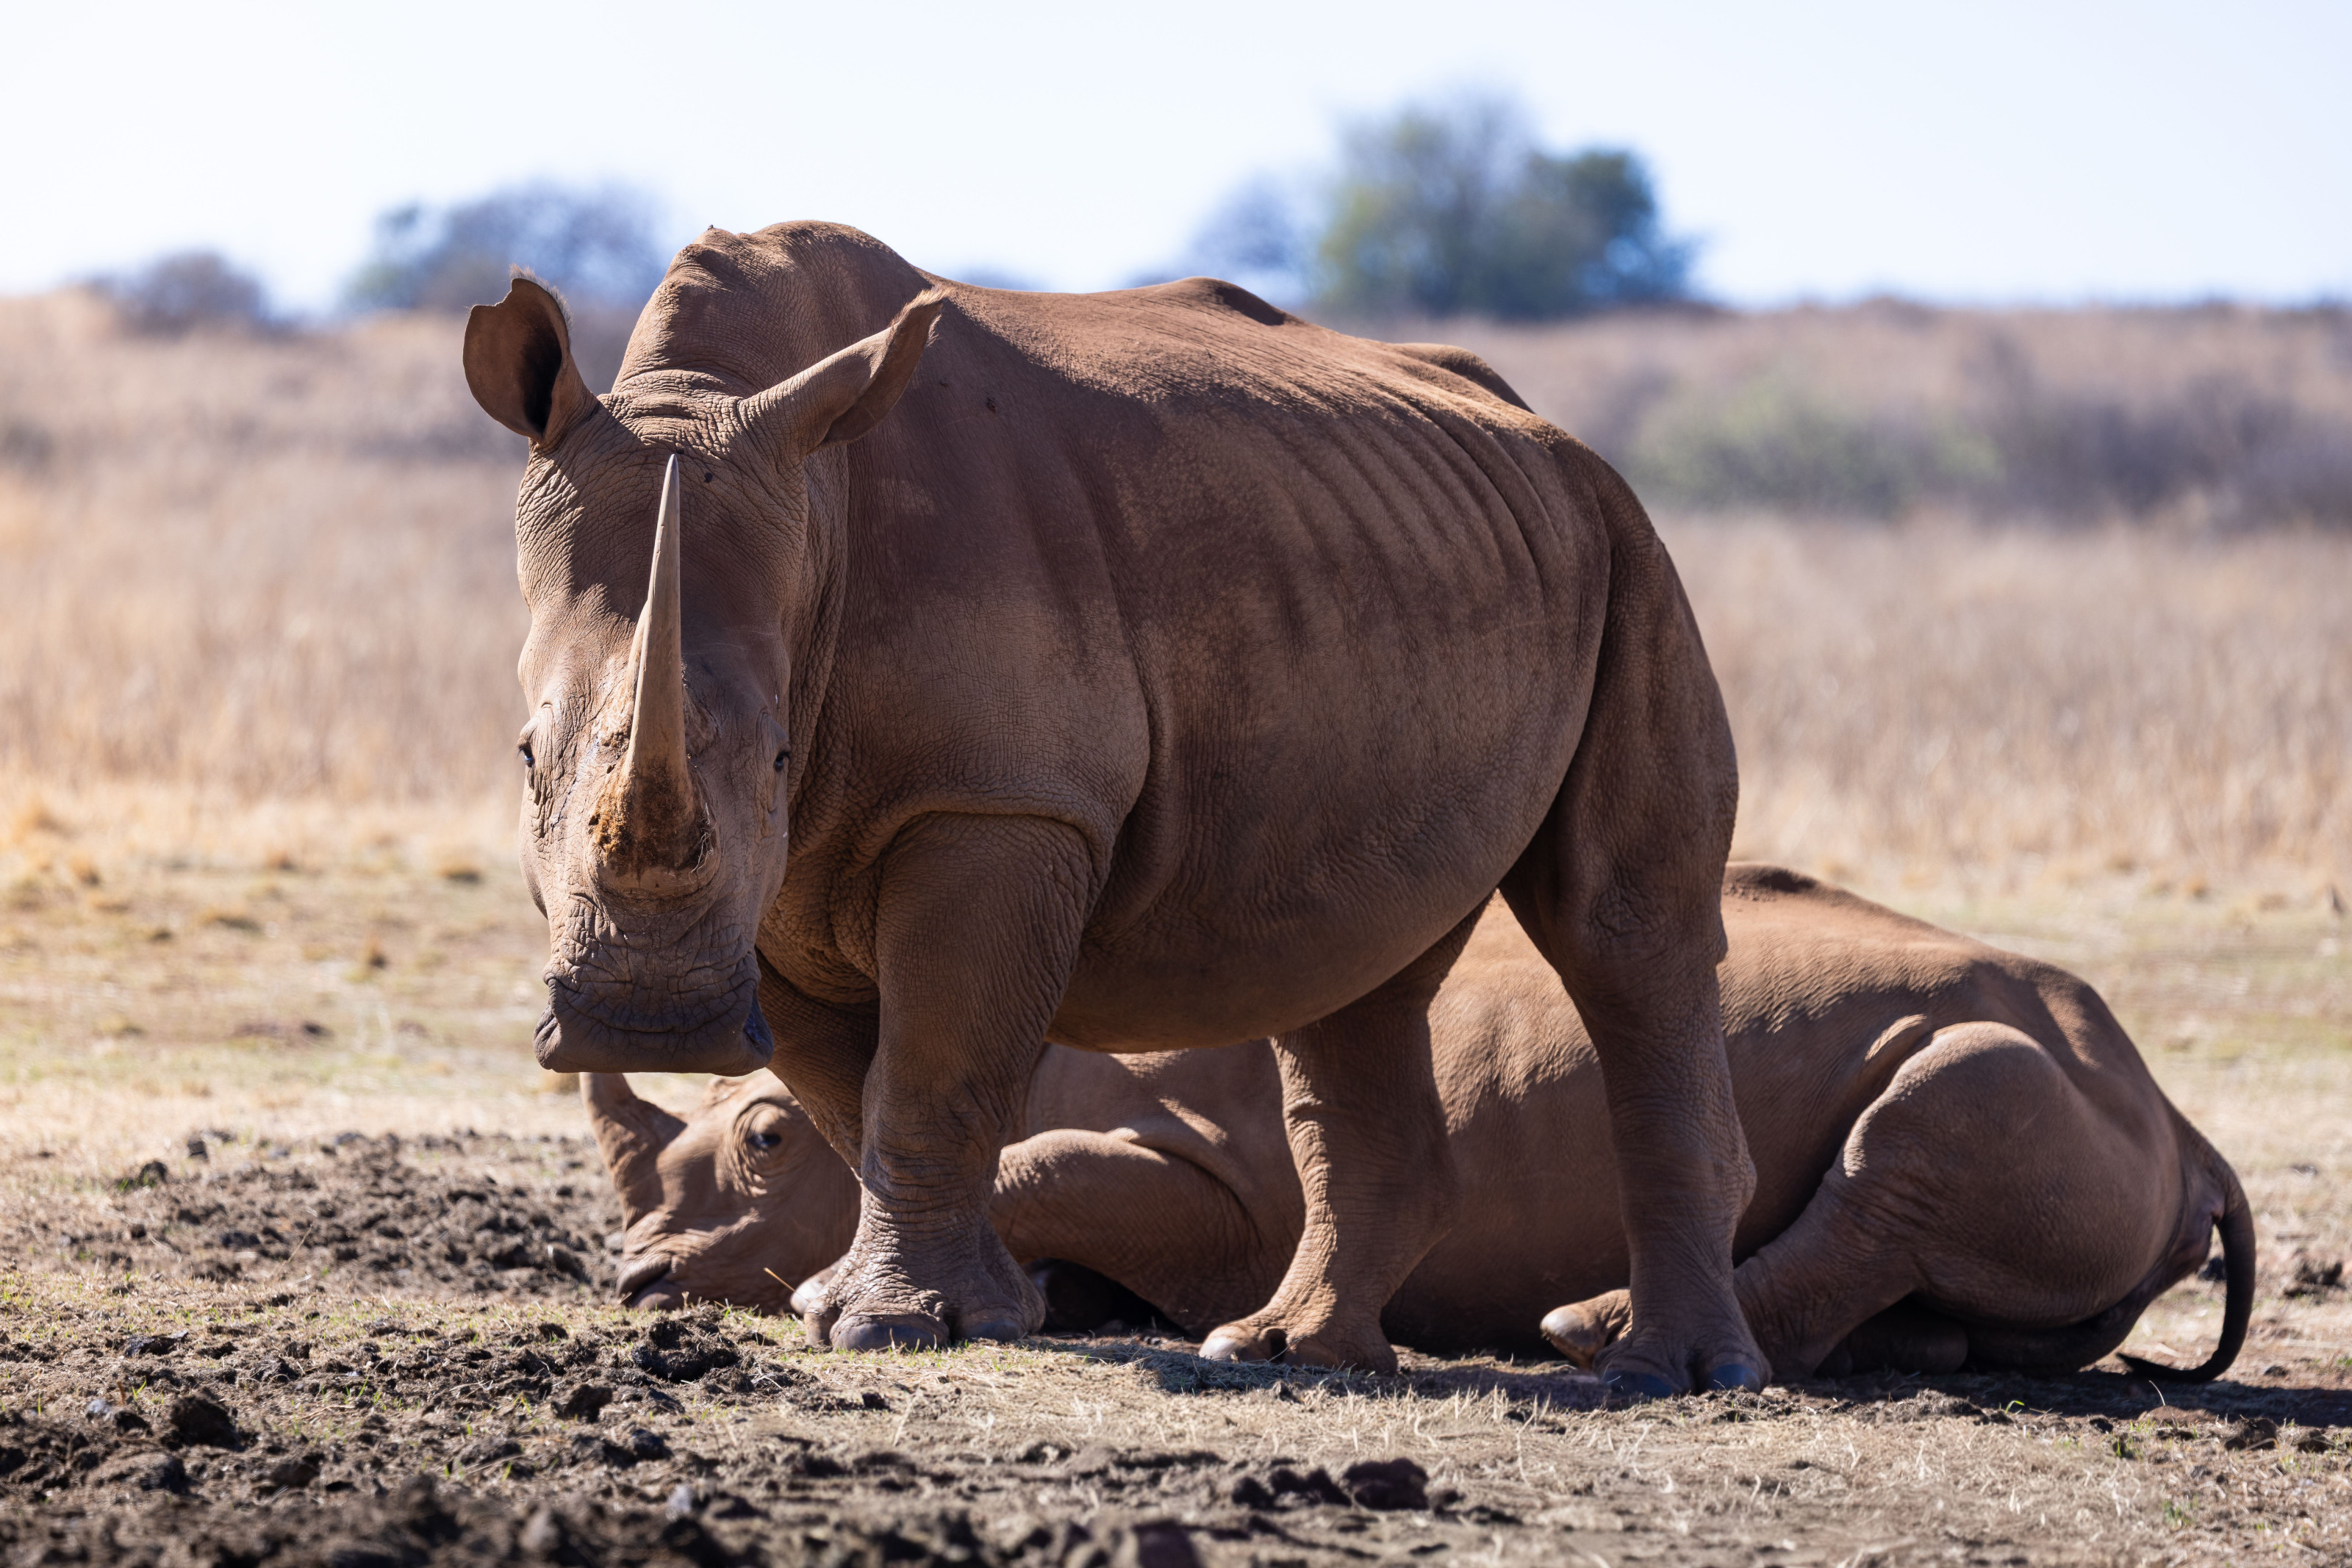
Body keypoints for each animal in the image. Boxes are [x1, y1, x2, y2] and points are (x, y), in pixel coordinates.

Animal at [464, 223, 1756, 1391]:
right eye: (525, 756)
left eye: (781, 759)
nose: (648, 1023)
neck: (727, 406)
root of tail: (1554, 436)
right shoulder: (773, 894)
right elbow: (844, 1086)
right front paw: (938, 1308)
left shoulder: (1003, 803)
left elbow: (930, 1066)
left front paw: (906, 1324)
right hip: (1407, 549)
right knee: (1348, 960)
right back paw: (1285, 1351)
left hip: (1630, 546)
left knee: (1624, 925)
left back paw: (1667, 1372)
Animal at [586, 866, 2251, 1383]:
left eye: (767, 1139)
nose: (634, 1280)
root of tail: (2188, 1122)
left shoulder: (1214, 1180)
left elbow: (1052, 1169)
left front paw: (827, 1292)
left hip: (2051, 1069)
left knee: (1932, 1111)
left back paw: (1586, 1332)